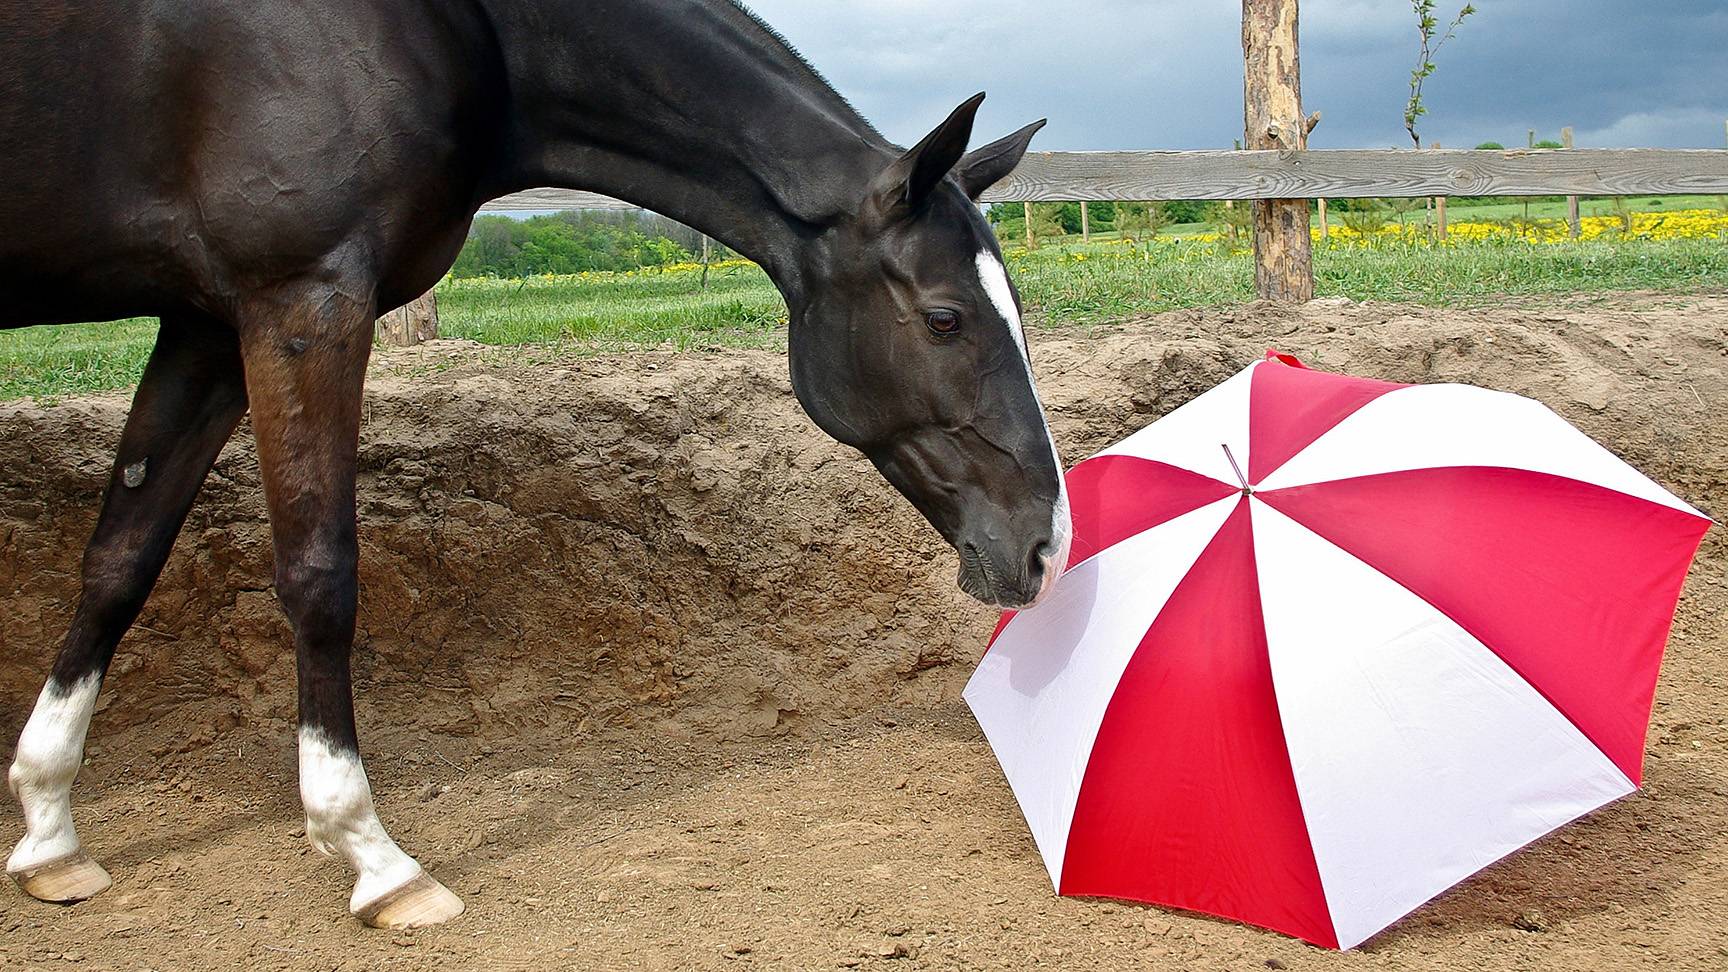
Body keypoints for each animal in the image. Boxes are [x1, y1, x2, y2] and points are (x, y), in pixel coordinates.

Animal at [1, 0, 1071, 927]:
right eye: (946, 318)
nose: (1047, 546)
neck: (458, 27)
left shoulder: (206, 325)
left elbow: (121, 558)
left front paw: (50, 833)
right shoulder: (300, 303)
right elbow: (320, 578)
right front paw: (371, 854)